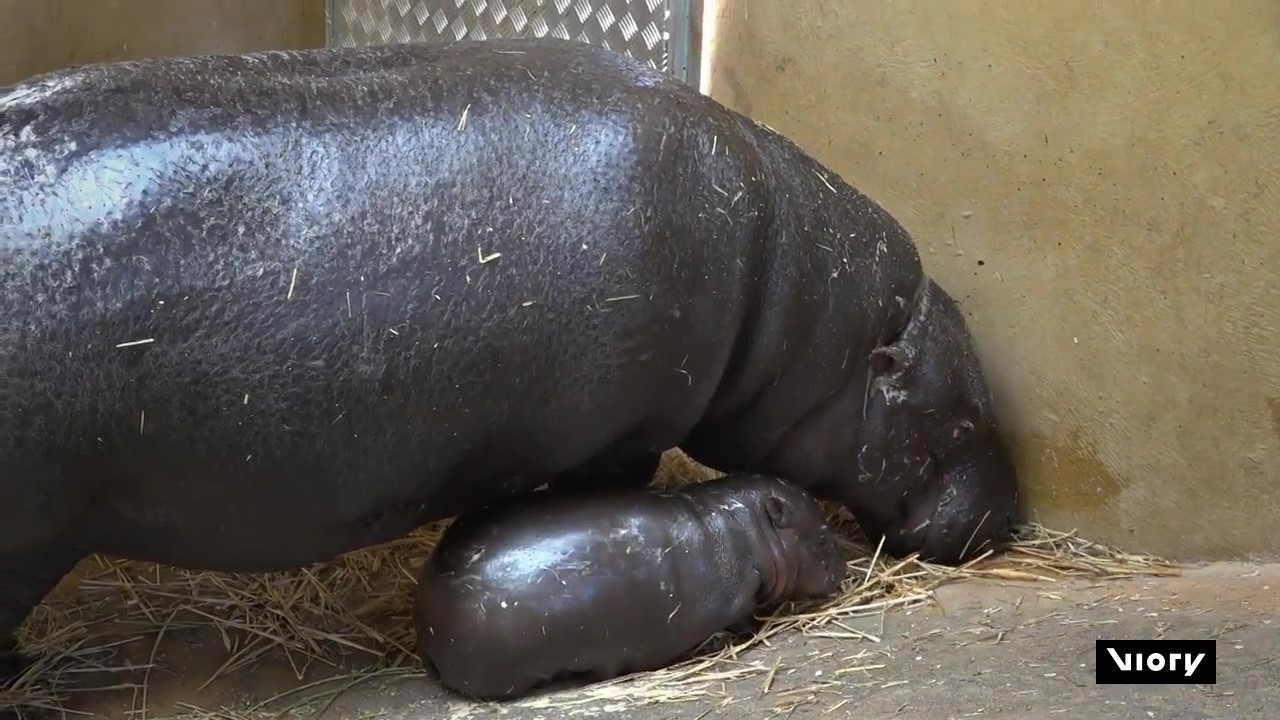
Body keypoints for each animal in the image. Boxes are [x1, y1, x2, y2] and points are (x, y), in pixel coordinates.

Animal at [414, 474, 844, 696]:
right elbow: (743, 620)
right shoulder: (738, 601)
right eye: (823, 537)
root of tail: (426, 622)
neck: (750, 529)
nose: (844, 573)